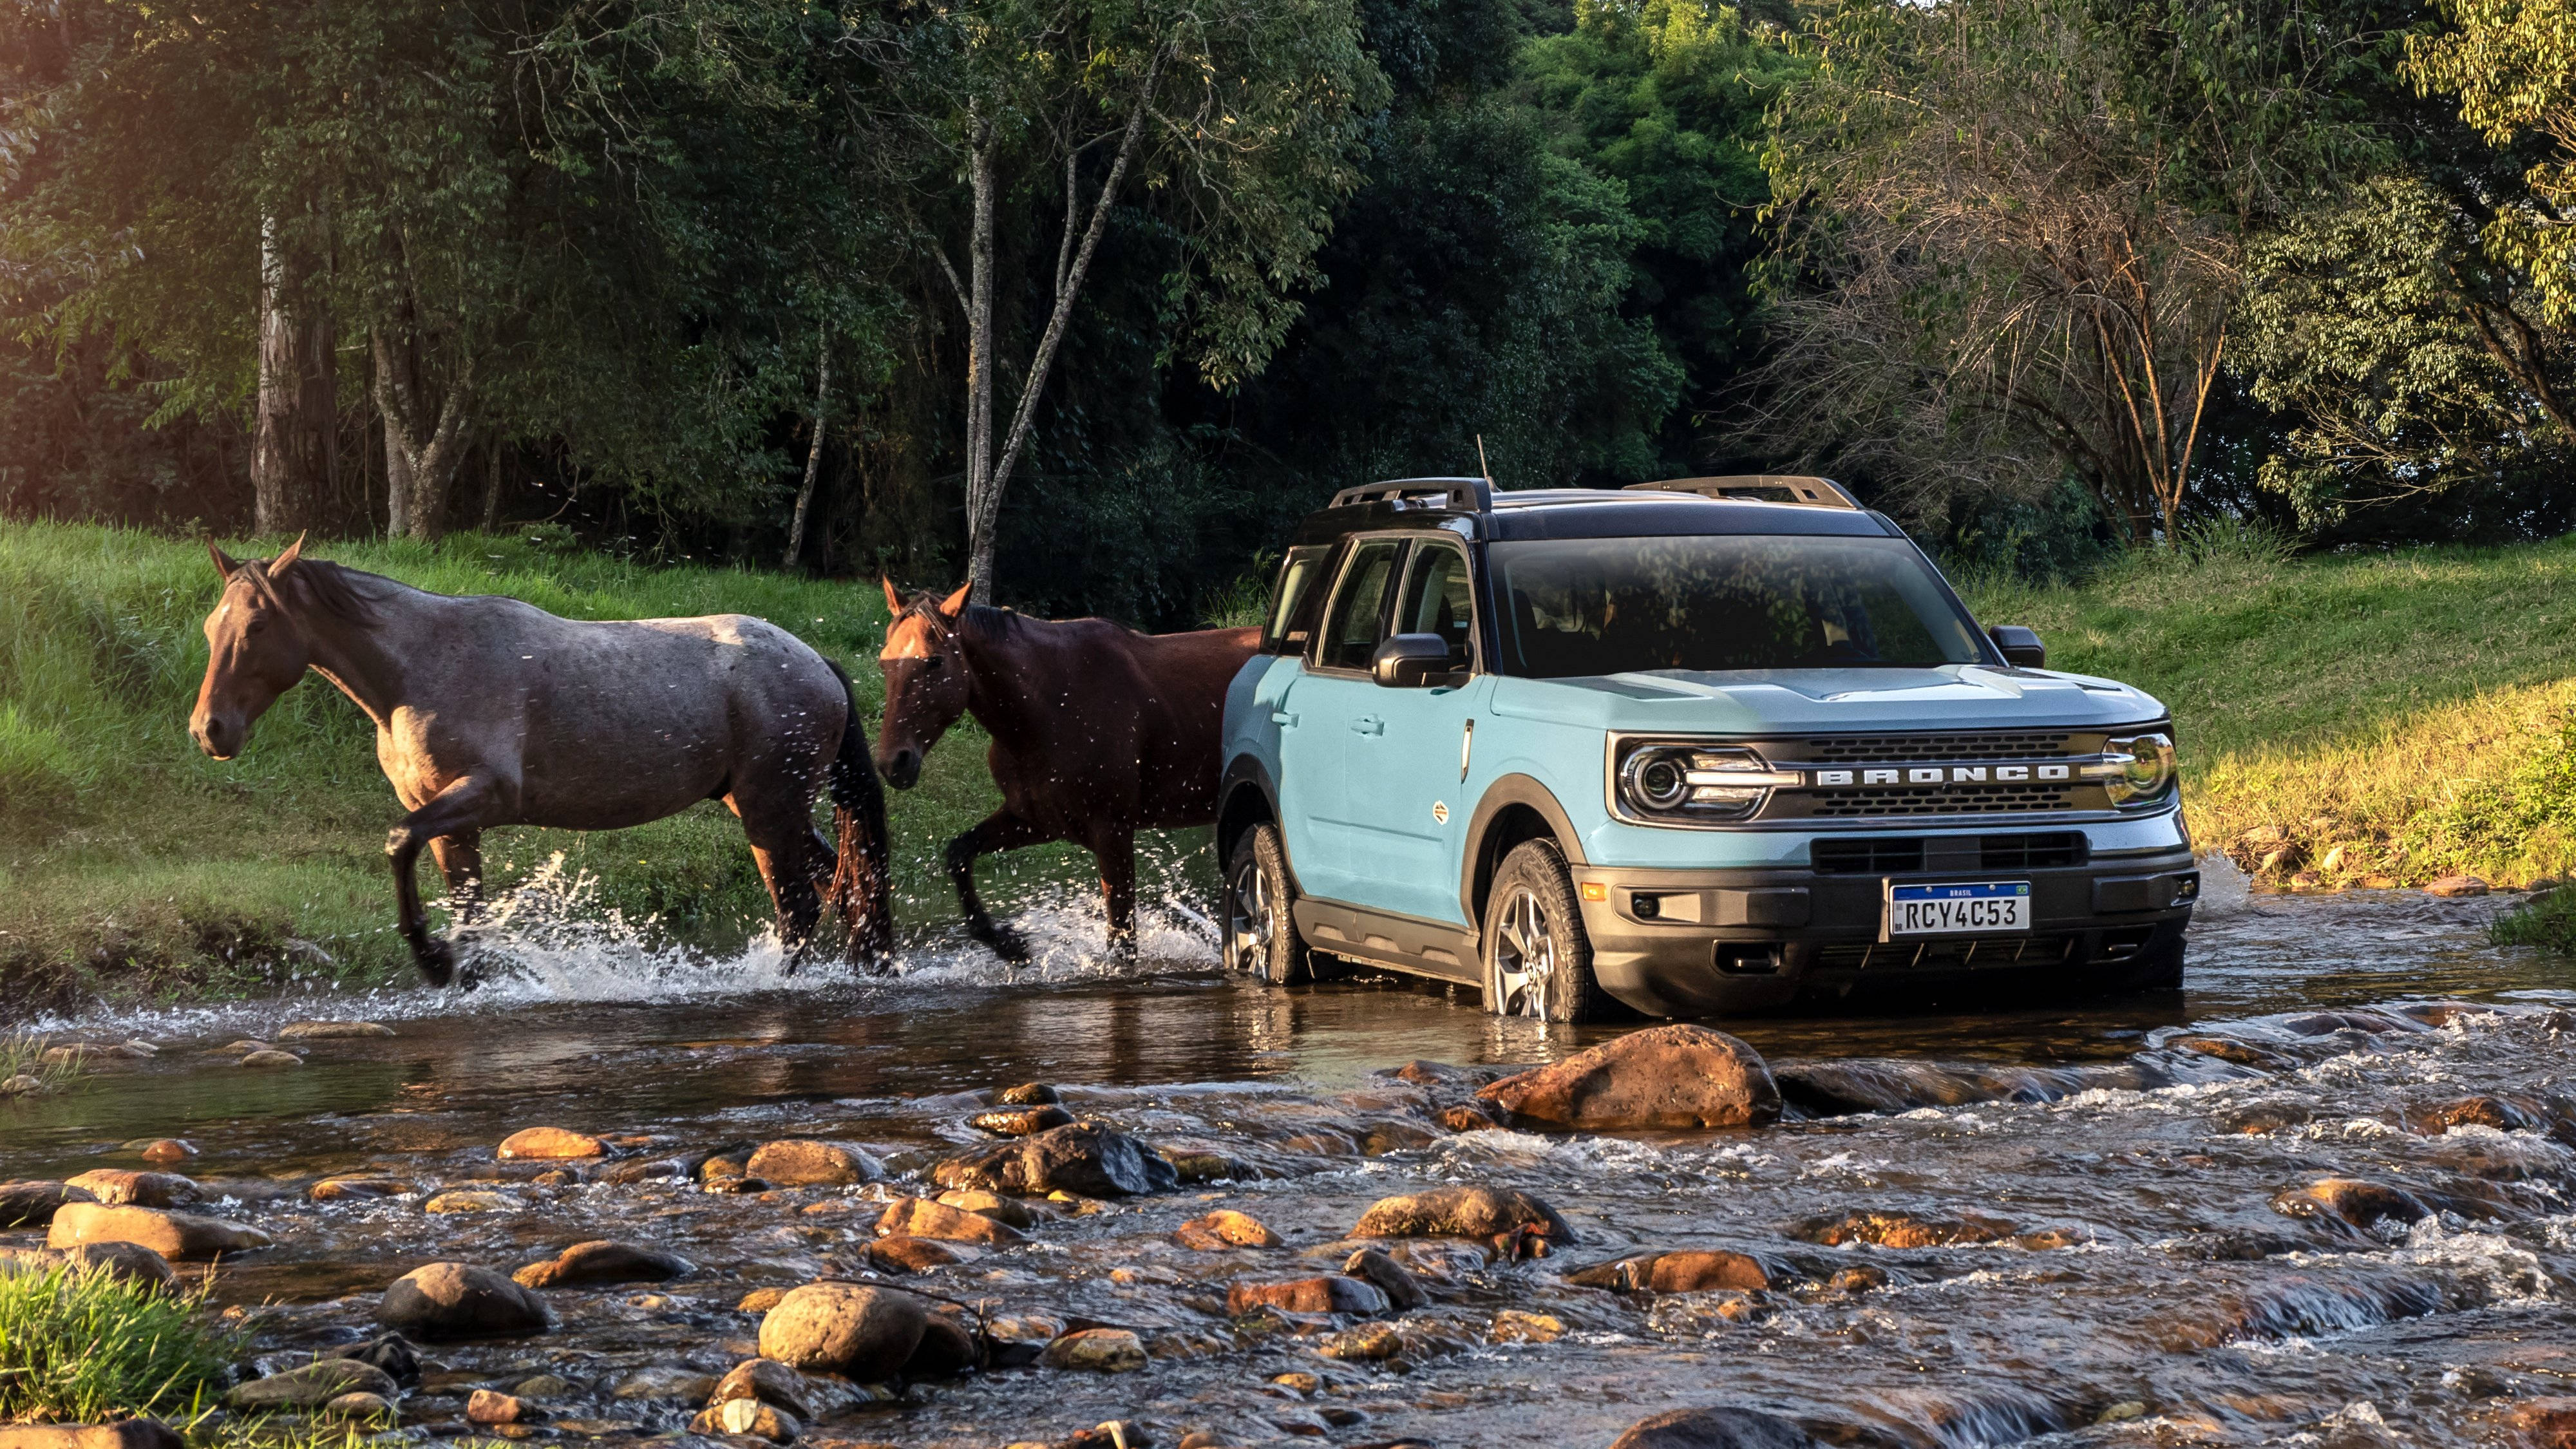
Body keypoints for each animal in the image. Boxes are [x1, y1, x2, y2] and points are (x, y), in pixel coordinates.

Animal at [189, 536, 893, 985]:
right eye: (209, 628)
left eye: (255, 627)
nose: (209, 730)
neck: (420, 667)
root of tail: (819, 664)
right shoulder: (449, 822)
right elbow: (466, 910)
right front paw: (461, 973)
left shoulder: (483, 796)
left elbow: (397, 845)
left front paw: (433, 962)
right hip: (773, 811)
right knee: (846, 888)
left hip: (768, 812)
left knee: (802, 908)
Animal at [873, 581, 1259, 961]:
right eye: (883, 662)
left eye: (934, 661)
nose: (894, 762)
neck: (1050, 705)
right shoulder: (1035, 821)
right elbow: (959, 854)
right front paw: (1007, 944)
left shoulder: (1112, 832)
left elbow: (1122, 945)